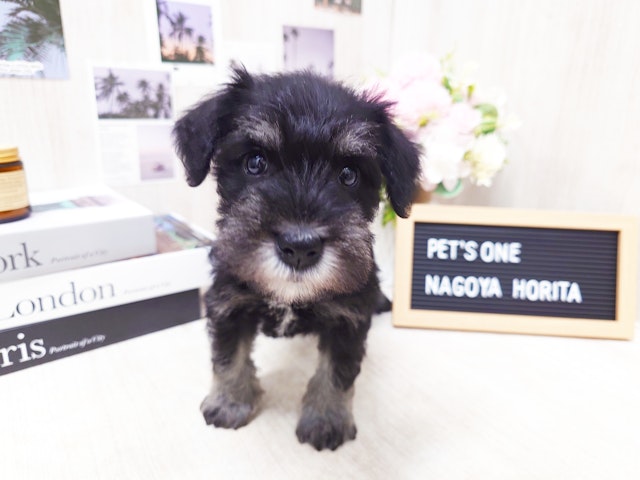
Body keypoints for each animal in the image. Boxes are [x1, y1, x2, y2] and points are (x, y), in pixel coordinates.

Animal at [173, 67, 420, 450]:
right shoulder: (227, 304)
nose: (300, 247)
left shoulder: (348, 318)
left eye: (349, 175)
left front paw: (326, 420)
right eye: (255, 162)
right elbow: (228, 356)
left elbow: (337, 372)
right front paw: (229, 402)